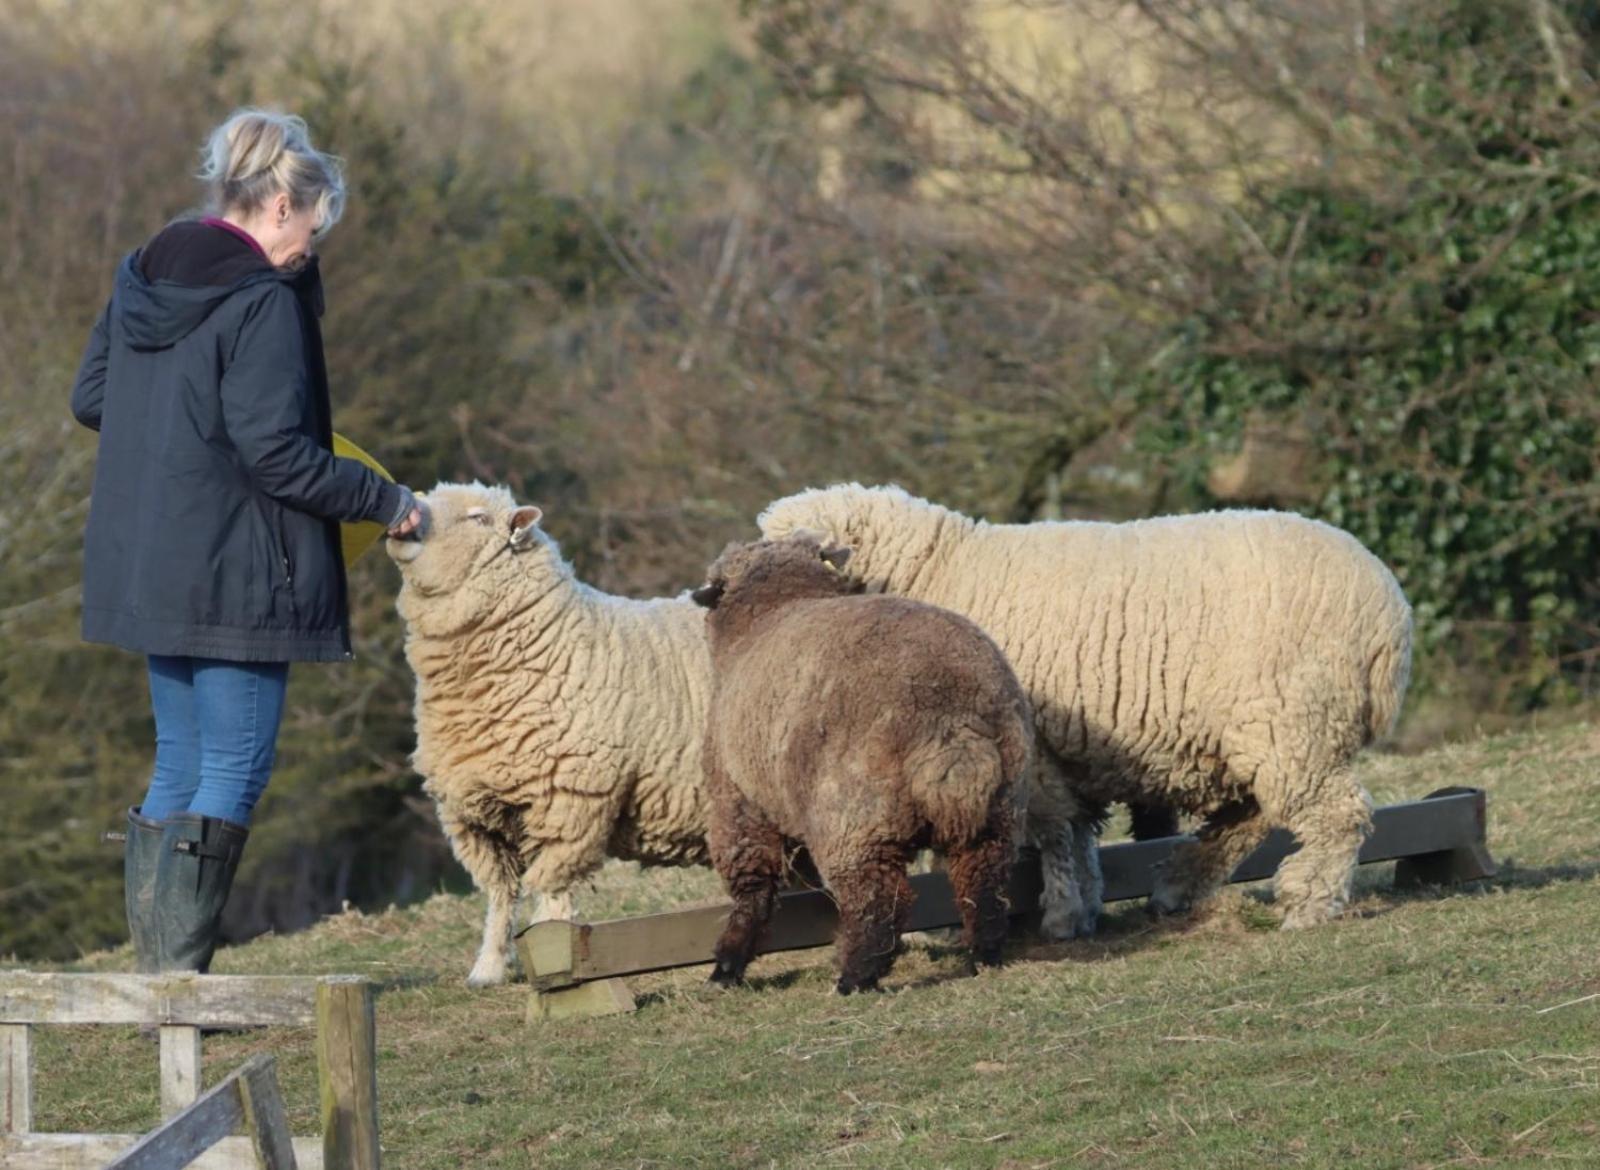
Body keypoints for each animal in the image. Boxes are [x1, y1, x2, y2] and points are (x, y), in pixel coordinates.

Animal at [384, 486, 710, 985]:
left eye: (479, 518)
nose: (404, 521)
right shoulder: (475, 816)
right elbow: (500, 895)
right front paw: (488, 968)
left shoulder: (568, 800)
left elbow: (551, 888)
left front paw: (553, 956)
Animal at [694, 534, 1030, 992]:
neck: (775, 606)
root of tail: (952, 720)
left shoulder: (738, 800)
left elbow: (754, 890)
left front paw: (727, 965)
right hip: (997, 812)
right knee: (983, 882)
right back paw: (985, 954)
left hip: (853, 821)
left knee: (880, 901)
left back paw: (855, 977)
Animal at [755, 486, 1408, 934]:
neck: (938, 572)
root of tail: (1391, 614)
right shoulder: (1058, 749)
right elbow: (1074, 830)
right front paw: (1084, 904)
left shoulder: (1033, 746)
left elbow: (1054, 831)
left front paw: (1064, 914)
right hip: (1263, 732)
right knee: (1250, 814)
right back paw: (1180, 884)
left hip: (1293, 719)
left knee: (1336, 813)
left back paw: (1309, 903)